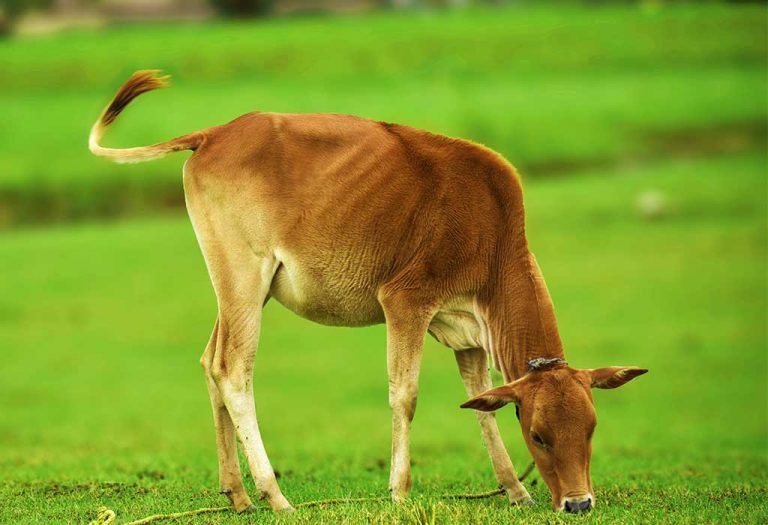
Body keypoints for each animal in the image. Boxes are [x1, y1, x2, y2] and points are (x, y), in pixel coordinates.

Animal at [89, 71, 647, 513]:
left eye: (591, 427)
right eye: (538, 435)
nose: (579, 503)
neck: (492, 231)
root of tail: (217, 132)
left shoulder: (467, 334)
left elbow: (480, 402)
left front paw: (516, 490)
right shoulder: (406, 302)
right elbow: (406, 395)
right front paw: (399, 491)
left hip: (240, 289)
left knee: (210, 361)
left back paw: (239, 494)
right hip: (244, 278)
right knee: (233, 369)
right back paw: (275, 495)